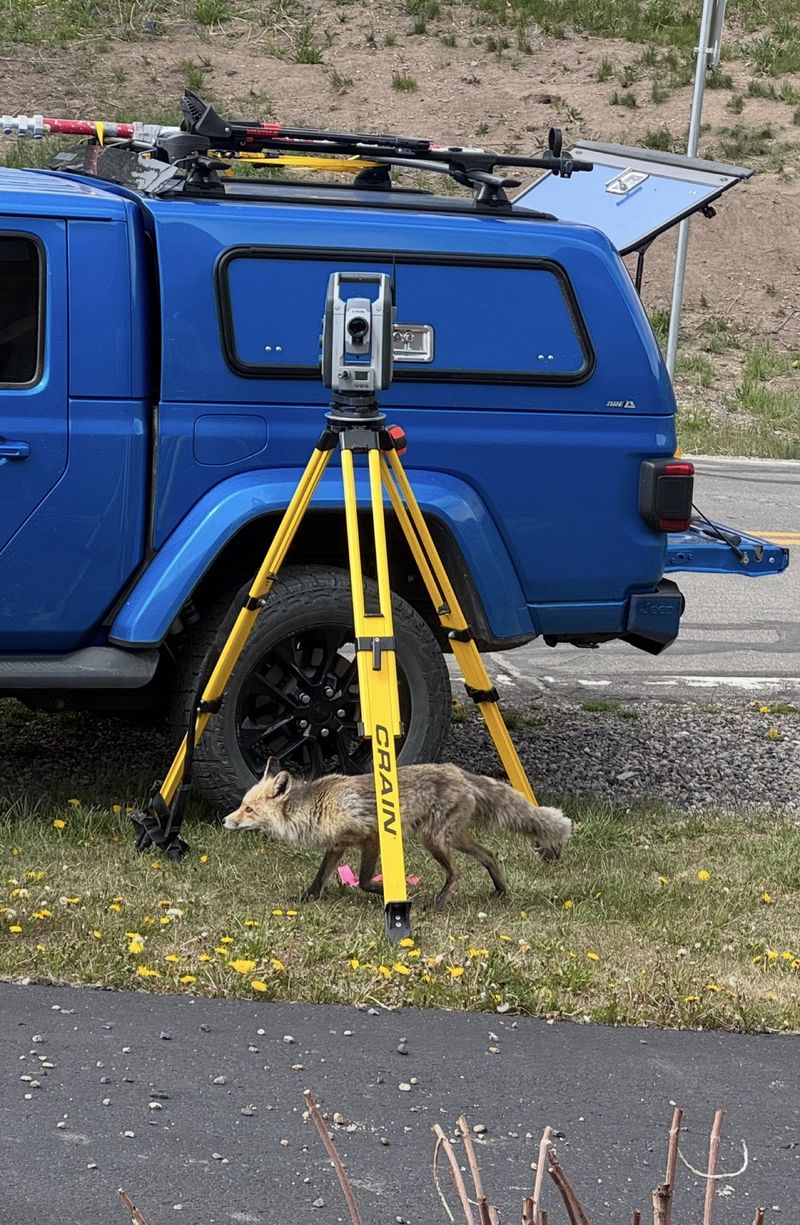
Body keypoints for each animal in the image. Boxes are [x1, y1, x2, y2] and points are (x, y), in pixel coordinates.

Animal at [224, 758, 571, 906]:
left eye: (249, 810)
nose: (226, 821)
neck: (317, 806)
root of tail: (459, 772)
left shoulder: (371, 837)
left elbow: (365, 881)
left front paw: (392, 892)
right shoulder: (337, 846)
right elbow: (320, 877)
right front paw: (306, 899)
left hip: (433, 841)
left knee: (457, 873)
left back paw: (437, 901)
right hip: (454, 838)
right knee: (489, 854)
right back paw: (500, 891)